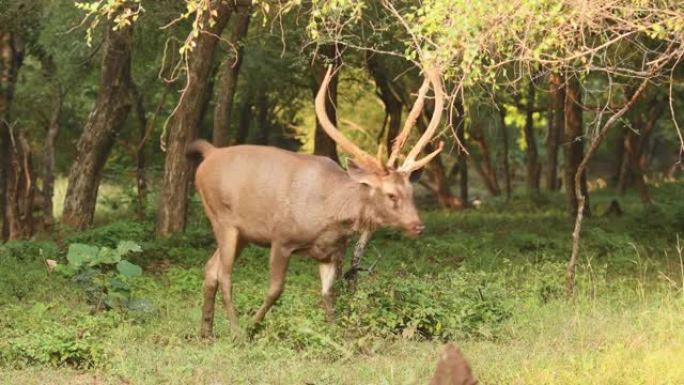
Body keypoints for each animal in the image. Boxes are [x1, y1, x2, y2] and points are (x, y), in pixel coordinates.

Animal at [187, 64, 446, 334]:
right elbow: (275, 290)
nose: (417, 225)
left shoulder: (331, 253)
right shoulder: (281, 238)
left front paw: (336, 333)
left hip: (243, 235)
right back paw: (236, 331)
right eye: (391, 194)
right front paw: (252, 328)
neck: (333, 214)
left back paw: (206, 332)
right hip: (222, 220)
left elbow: (328, 295)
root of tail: (209, 154)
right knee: (225, 275)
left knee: (210, 268)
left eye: (411, 193)